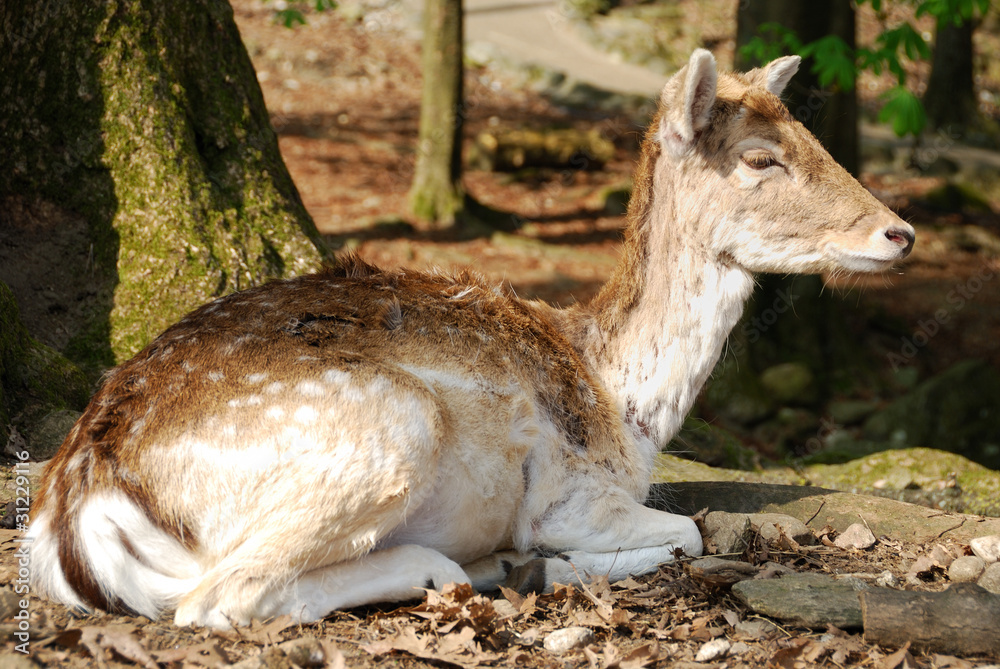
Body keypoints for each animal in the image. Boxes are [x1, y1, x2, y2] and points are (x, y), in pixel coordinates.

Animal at [25, 51, 916, 628]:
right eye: (762, 158)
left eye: (812, 137)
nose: (899, 231)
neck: (623, 405)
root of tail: (78, 500)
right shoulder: (573, 492)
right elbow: (687, 531)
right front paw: (550, 557)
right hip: (388, 426)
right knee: (219, 598)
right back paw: (471, 565)